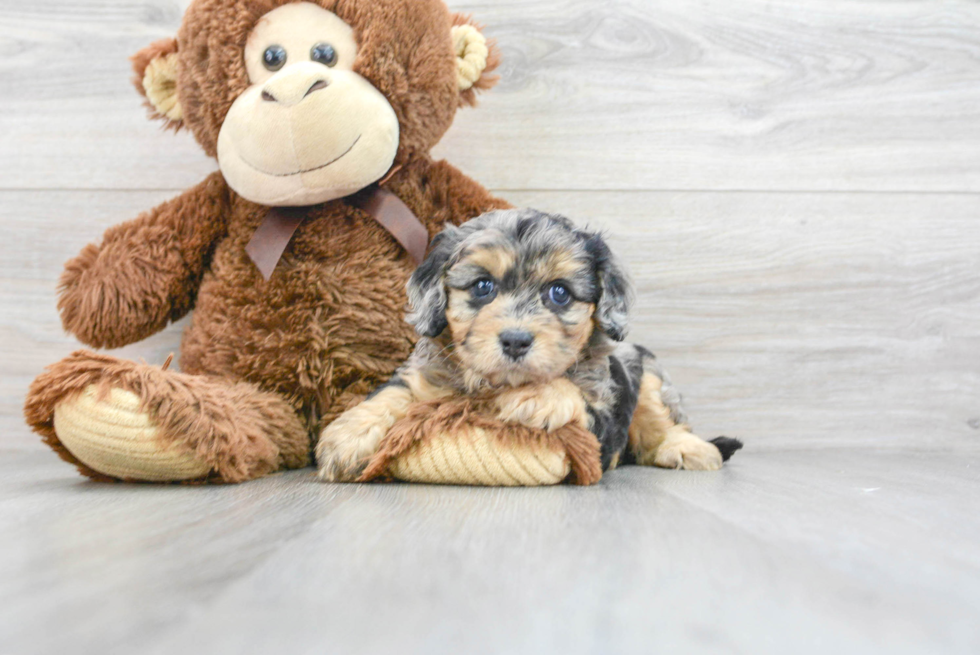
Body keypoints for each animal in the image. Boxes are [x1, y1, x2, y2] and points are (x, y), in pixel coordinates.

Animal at [318, 210, 740, 482]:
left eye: (560, 293)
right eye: (483, 286)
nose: (516, 340)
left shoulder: (601, 421)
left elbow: (572, 392)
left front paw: (539, 394)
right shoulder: (424, 376)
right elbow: (392, 393)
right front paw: (347, 437)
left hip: (647, 371)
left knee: (661, 421)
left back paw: (689, 448)